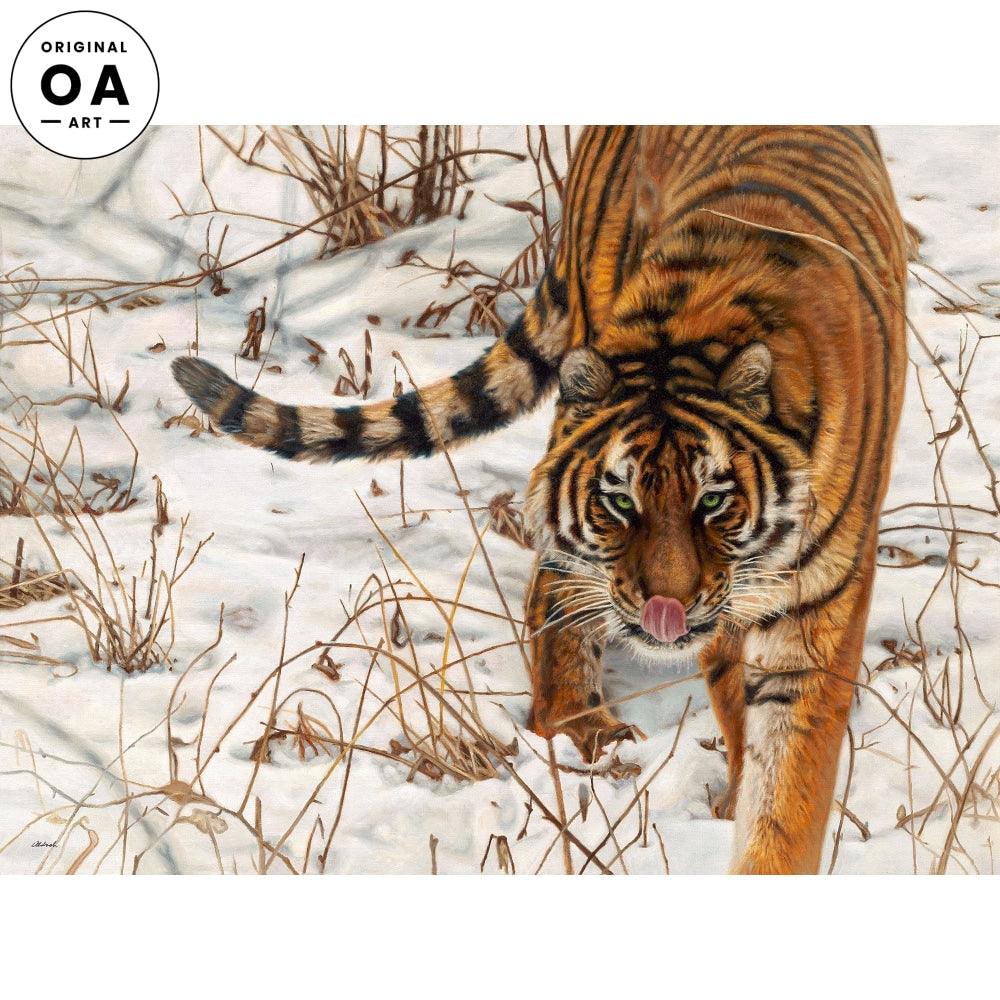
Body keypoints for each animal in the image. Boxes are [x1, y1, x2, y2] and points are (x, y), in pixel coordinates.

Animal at [173, 126, 907, 874]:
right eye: (621, 504)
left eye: (712, 501)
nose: (665, 610)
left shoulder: (810, 614)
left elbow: (786, 782)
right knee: (554, 598)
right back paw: (586, 735)